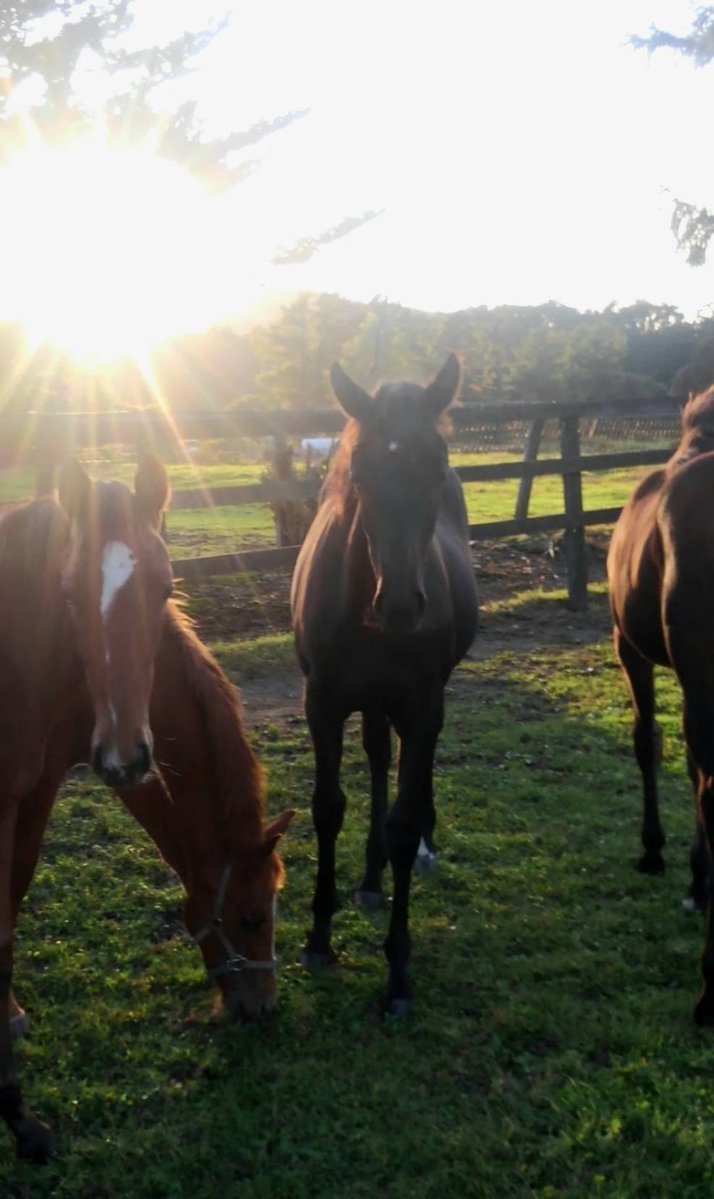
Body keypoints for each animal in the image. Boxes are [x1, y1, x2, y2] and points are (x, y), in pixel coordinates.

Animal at [291, 353, 478, 1015]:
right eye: (361, 470)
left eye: (437, 465)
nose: (399, 605)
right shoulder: (321, 704)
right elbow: (327, 808)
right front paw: (318, 938)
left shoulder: (423, 708)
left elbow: (402, 819)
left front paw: (398, 973)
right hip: (369, 703)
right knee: (376, 759)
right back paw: (370, 881)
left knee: (407, 779)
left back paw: (421, 847)